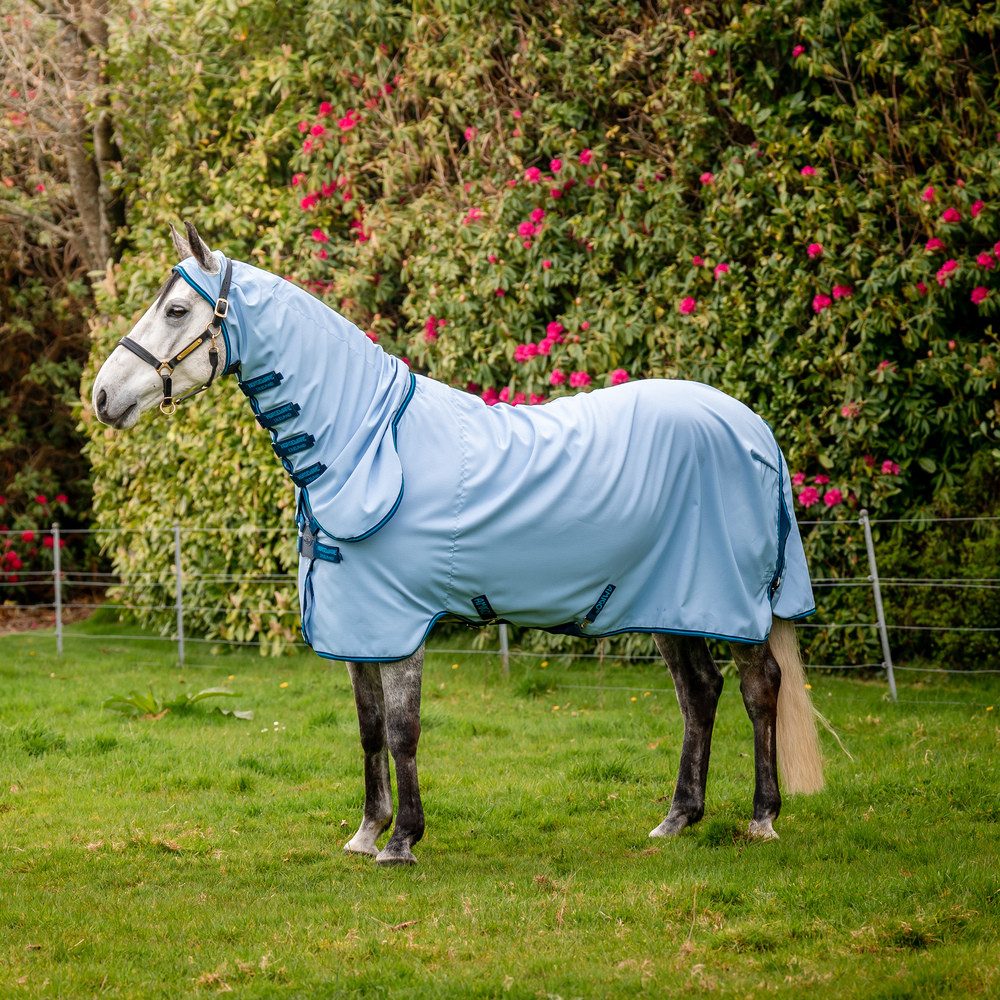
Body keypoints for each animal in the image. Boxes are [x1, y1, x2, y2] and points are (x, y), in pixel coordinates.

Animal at [92, 222, 824, 865]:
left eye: (177, 309)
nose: (101, 396)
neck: (364, 444)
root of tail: (753, 428)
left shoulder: (399, 623)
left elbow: (402, 731)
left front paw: (402, 842)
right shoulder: (360, 627)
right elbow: (368, 731)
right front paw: (367, 833)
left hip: (729, 603)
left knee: (760, 688)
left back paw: (762, 818)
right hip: (672, 603)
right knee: (699, 693)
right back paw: (677, 818)